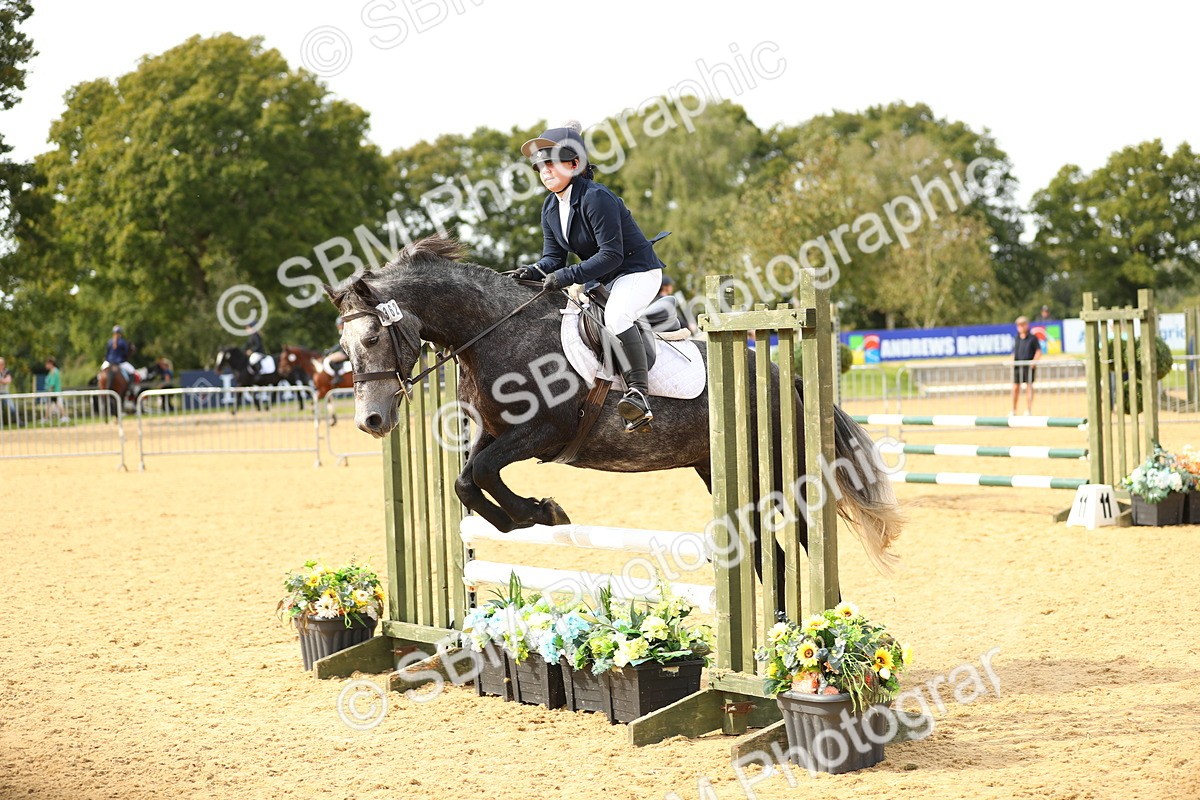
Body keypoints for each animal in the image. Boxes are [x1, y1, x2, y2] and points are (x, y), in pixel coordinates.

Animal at [324, 235, 902, 604]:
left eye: (372, 337)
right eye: (343, 348)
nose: (371, 421)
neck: (493, 332)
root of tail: (787, 377)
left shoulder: (543, 432)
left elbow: (483, 472)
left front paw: (540, 512)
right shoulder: (492, 431)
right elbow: (466, 479)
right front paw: (525, 516)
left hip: (779, 469)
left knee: (805, 540)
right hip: (722, 471)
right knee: (770, 555)